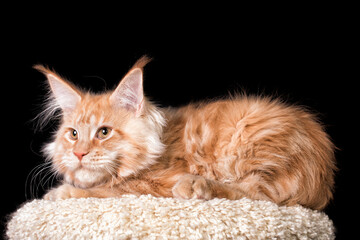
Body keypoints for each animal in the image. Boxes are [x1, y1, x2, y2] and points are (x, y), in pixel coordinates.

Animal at [33, 56, 334, 210]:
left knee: (258, 196)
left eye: (104, 132)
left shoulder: (153, 184)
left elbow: (107, 190)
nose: (78, 153)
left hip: (250, 140)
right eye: (73, 134)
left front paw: (59, 193)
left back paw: (195, 185)